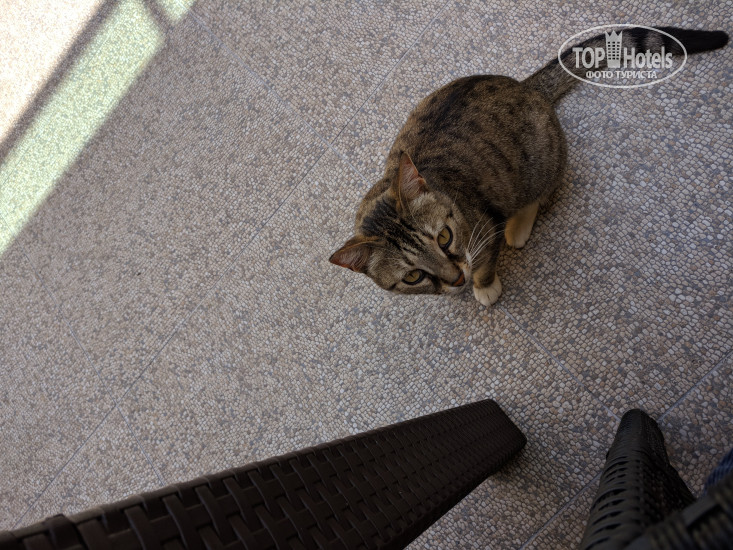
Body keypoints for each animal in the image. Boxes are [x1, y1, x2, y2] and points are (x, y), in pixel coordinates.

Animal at [329, 27, 728, 306]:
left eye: (444, 237)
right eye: (412, 277)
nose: (456, 279)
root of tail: (525, 87)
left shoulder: (483, 228)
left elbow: (484, 263)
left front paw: (484, 286)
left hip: (539, 162)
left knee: (539, 191)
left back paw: (518, 226)